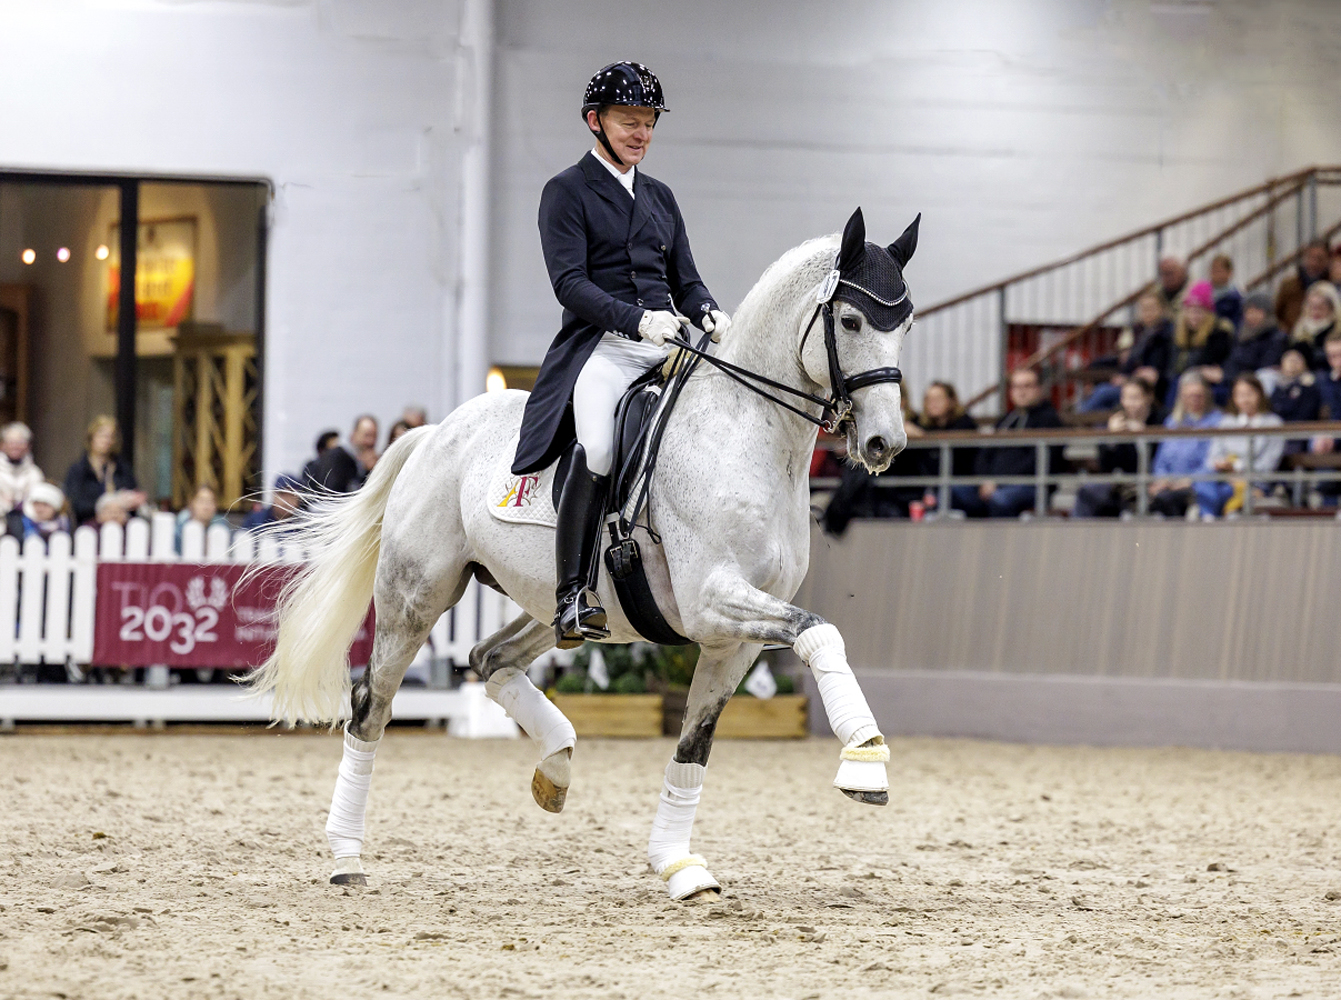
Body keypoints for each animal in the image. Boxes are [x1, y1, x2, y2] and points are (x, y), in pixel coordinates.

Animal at [249, 207, 919, 901]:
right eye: (851, 321)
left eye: (906, 323)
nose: (885, 443)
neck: (746, 434)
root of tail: (435, 432)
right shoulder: (712, 601)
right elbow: (822, 633)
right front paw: (865, 762)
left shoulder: (734, 640)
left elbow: (694, 747)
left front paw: (678, 865)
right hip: (416, 596)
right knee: (371, 707)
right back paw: (346, 855)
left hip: (548, 605)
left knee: (488, 658)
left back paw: (558, 764)